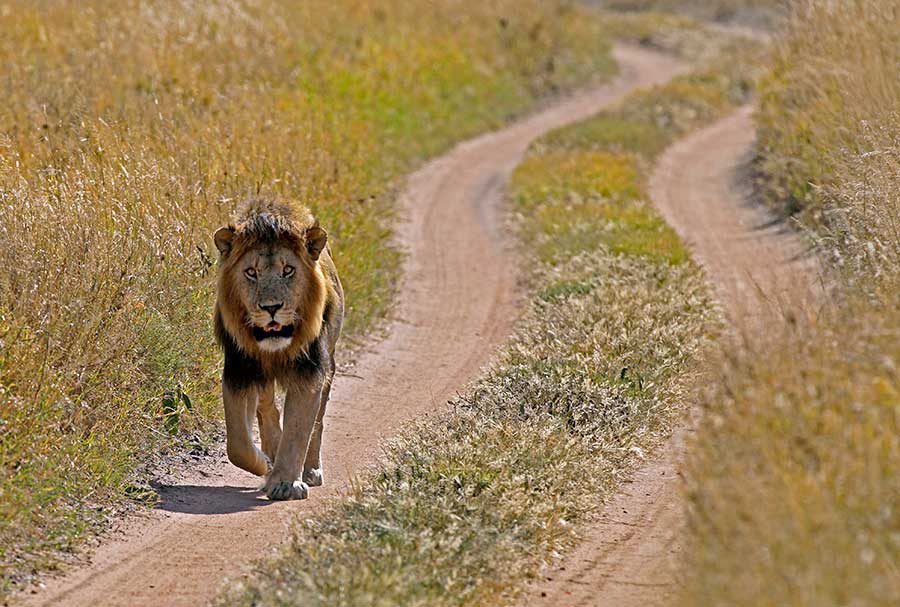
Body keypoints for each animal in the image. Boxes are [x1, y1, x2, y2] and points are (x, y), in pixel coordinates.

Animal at [212, 197, 343, 500]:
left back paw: (310, 470)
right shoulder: (239, 370)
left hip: (329, 365)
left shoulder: (310, 371)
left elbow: (298, 430)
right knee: (267, 410)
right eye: (251, 273)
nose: (271, 308)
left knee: (317, 423)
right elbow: (237, 445)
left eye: (288, 271)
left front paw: (285, 483)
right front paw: (266, 465)